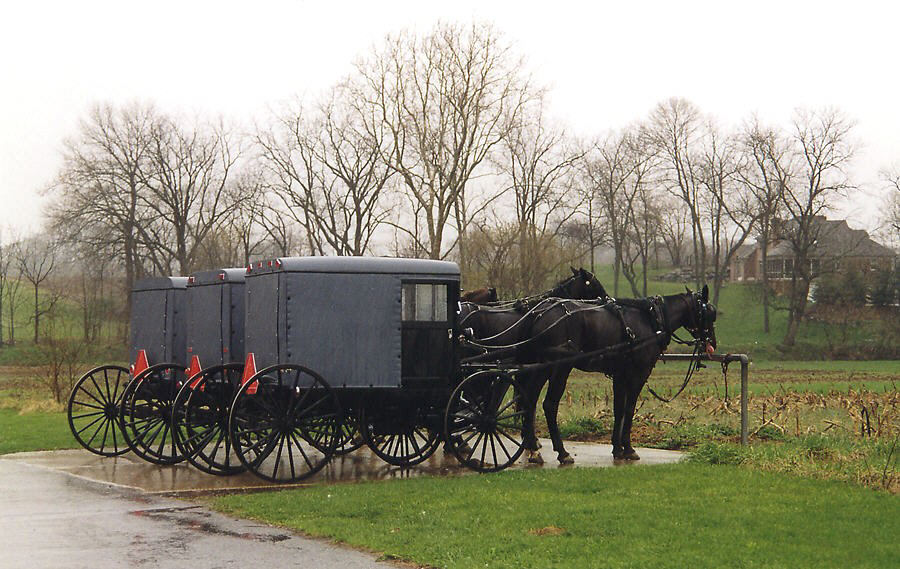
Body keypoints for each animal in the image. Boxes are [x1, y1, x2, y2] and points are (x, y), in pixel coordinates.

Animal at [520, 284, 716, 462]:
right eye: (709, 314)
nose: (712, 343)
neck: (652, 320)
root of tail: (540, 314)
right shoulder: (638, 374)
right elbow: (629, 410)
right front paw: (628, 449)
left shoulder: (620, 375)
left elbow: (619, 409)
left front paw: (617, 448)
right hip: (560, 368)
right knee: (549, 404)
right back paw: (562, 452)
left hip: (542, 367)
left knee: (529, 401)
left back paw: (532, 448)